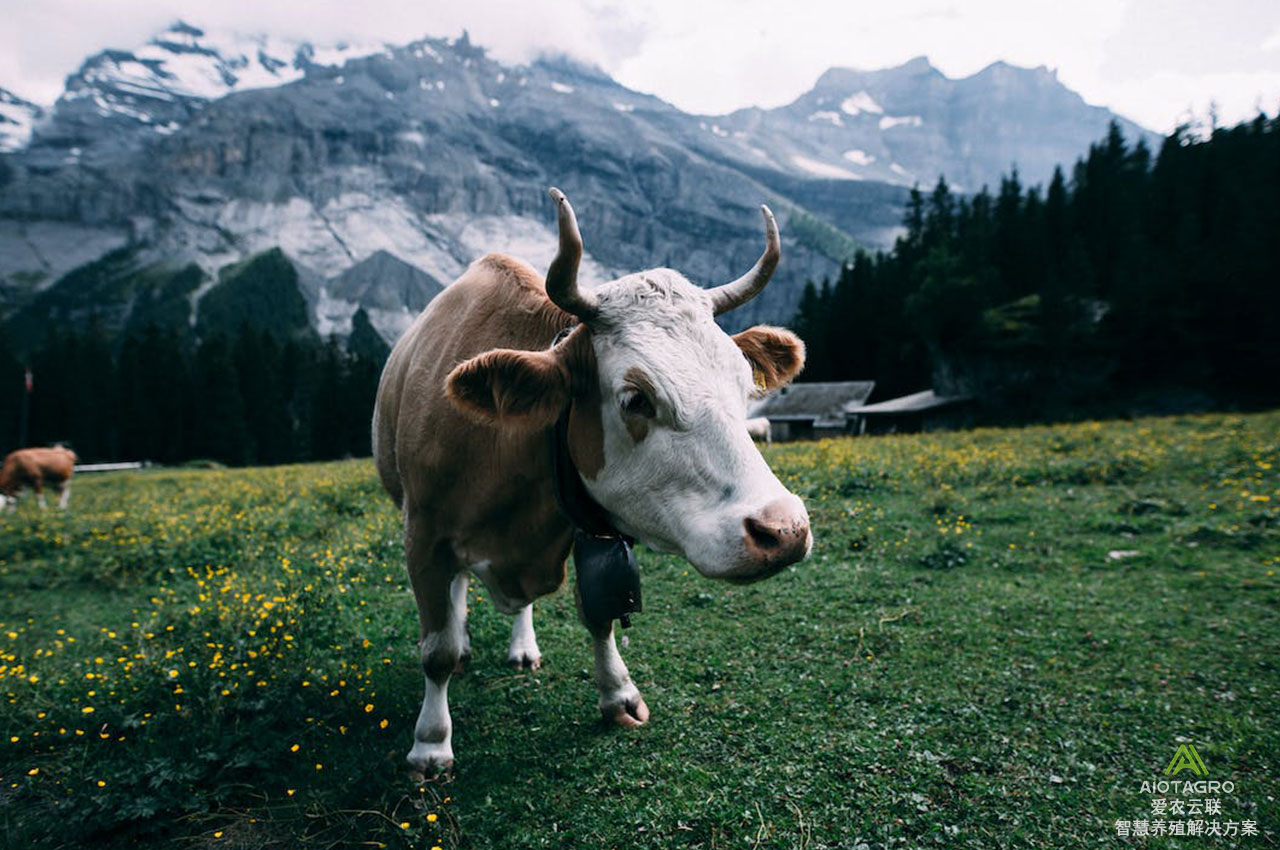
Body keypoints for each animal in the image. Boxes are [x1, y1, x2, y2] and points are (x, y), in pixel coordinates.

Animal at [373, 189, 808, 773]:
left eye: (744, 384)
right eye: (636, 398)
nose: (784, 530)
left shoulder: (588, 527)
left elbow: (600, 613)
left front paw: (619, 695)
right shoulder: (422, 537)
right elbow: (435, 650)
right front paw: (430, 743)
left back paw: (523, 646)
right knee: (456, 598)